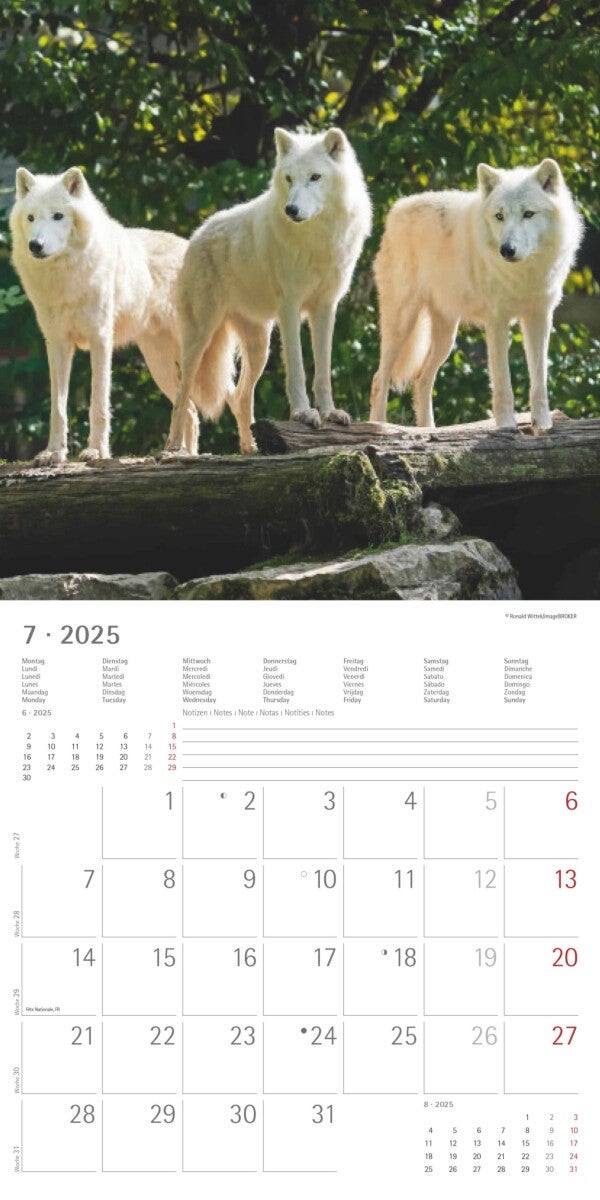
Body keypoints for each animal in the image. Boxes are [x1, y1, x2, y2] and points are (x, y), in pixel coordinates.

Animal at [9, 167, 210, 463]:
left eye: (58, 216)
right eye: (31, 217)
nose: (36, 245)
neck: (66, 277)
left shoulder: (100, 339)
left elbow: (98, 403)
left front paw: (96, 451)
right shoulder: (57, 343)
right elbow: (58, 407)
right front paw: (54, 453)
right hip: (158, 363)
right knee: (189, 411)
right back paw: (180, 453)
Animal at [164, 127, 372, 455]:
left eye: (315, 177)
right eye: (288, 178)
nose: (291, 209)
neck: (318, 238)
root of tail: (196, 234)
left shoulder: (326, 308)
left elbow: (323, 370)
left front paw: (329, 413)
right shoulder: (290, 307)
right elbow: (298, 368)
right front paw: (304, 414)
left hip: (260, 347)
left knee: (240, 397)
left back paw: (251, 447)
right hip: (200, 338)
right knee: (182, 397)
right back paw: (173, 448)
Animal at [369, 159, 583, 434]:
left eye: (528, 214)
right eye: (500, 216)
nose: (507, 250)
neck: (524, 272)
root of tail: (396, 209)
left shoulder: (540, 317)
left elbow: (539, 379)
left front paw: (542, 425)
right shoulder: (497, 321)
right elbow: (503, 383)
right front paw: (506, 425)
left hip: (446, 338)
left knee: (421, 379)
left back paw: (429, 431)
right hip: (402, 324)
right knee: (380, 378)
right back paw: (380, 426)